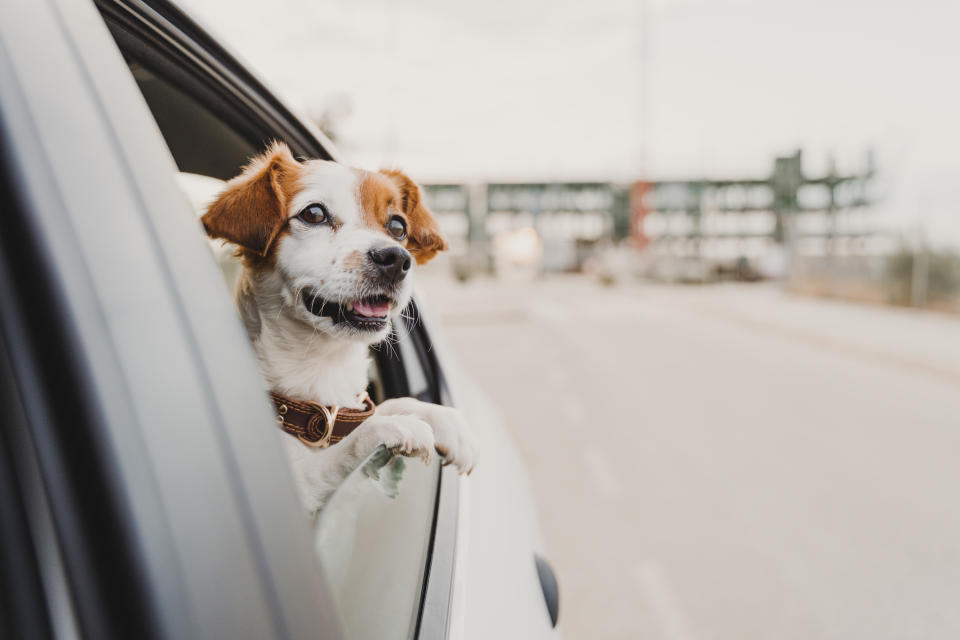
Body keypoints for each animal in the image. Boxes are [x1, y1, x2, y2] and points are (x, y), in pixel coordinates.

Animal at [202, 141, 476, 516]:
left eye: (397, 226)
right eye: (314, 214)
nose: (396, 258)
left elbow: (386, 404)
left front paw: (441, 417)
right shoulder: (298, 490)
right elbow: (337, 454)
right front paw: (388, 427)